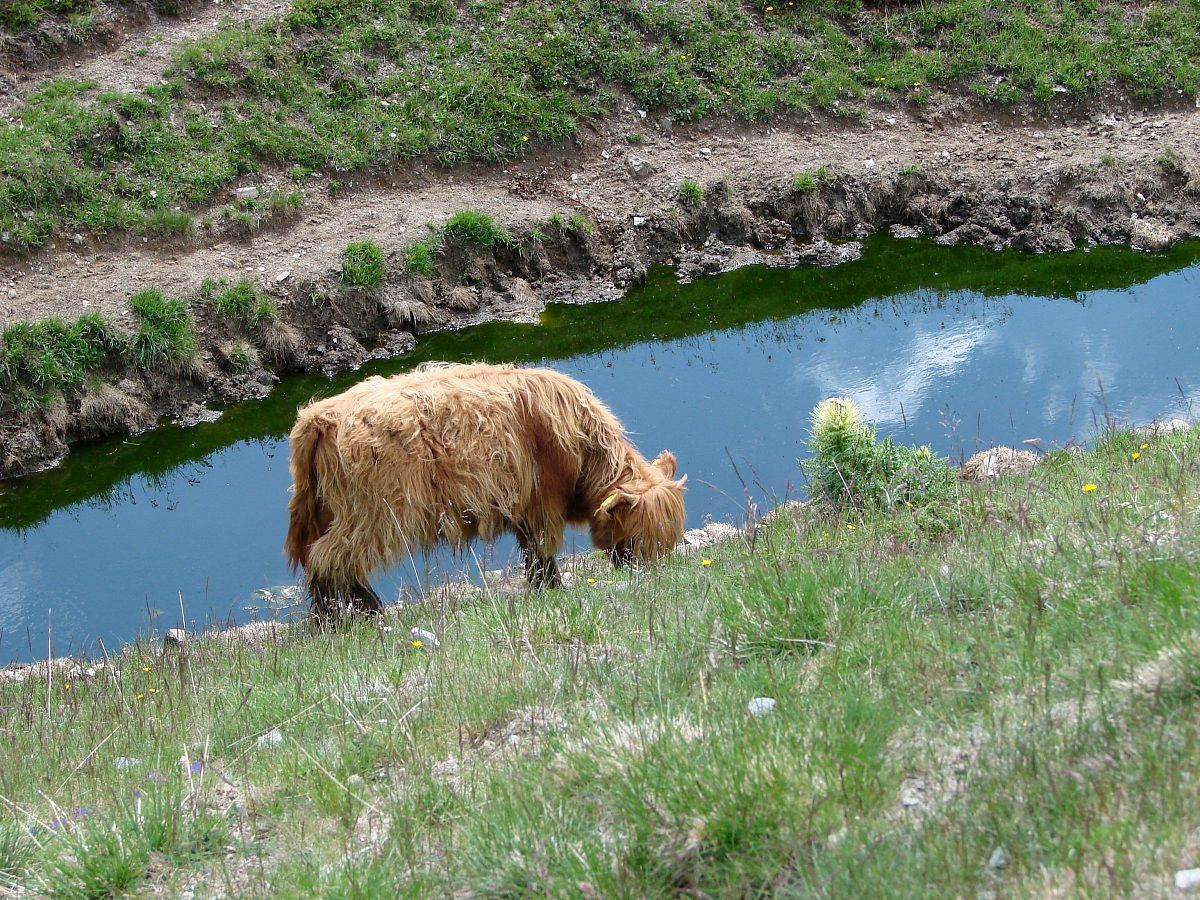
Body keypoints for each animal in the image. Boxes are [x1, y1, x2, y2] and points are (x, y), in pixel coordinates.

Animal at [283, 362, 687, 617]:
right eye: (636, 539)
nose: (644, 576)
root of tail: (319, 416)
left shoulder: (526, 505)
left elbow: (534, 553)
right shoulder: (541, 501)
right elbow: (542, 553)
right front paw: (552, 589)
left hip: (326, 509)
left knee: (317, 556)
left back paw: (333, 618)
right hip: (375, 512)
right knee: (332, 558)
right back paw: (364, 613)